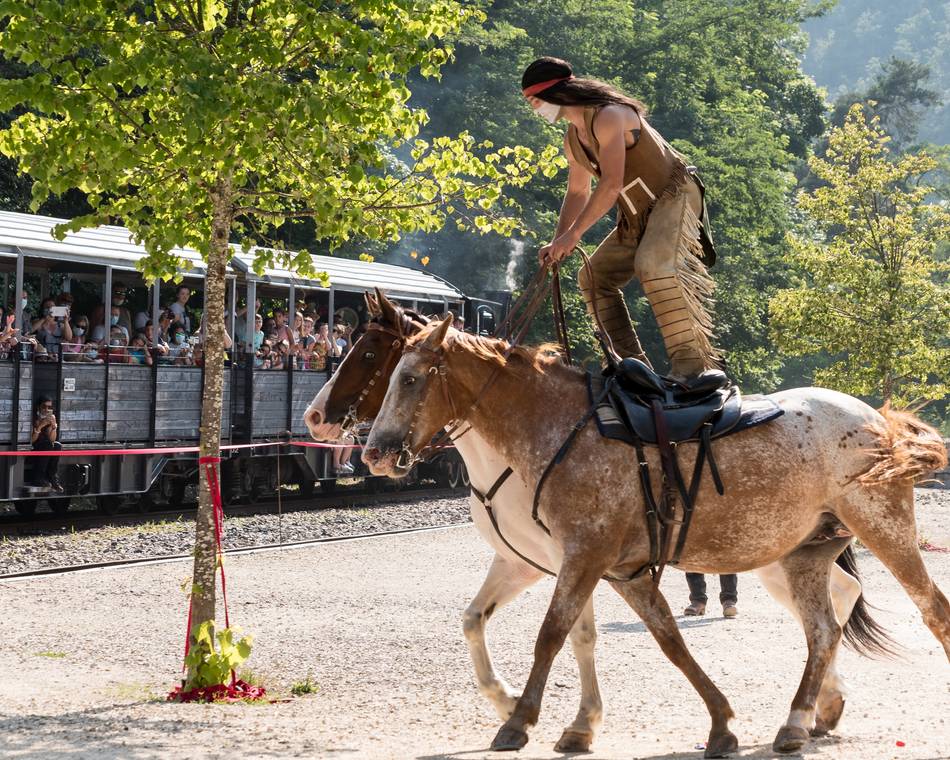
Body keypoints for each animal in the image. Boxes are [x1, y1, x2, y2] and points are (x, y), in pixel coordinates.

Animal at [306, 290, 908, 756]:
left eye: (376, 357)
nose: (371, 450)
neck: (544, 431)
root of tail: (872, 417)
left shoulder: (578, 558)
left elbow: (558, 634)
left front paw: (528, 719)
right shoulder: (558, 562)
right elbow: (507, 623)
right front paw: (552, 713)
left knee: (832, 609)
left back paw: (814, 708)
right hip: (787, 554)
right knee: (833, 607)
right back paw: (820, 707)